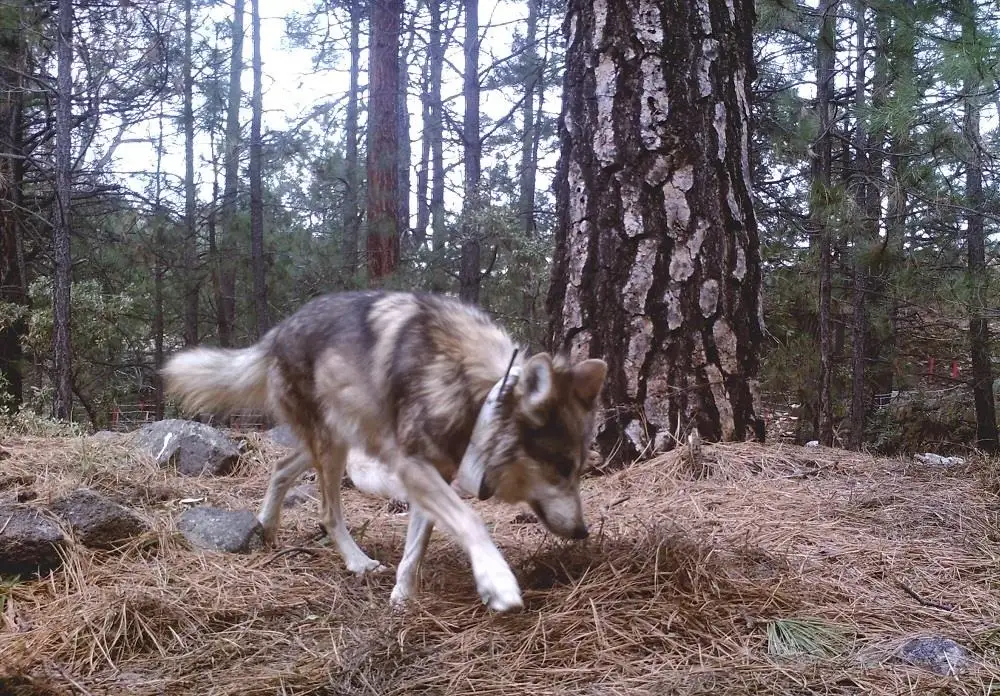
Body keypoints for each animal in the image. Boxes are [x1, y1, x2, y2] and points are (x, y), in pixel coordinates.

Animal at [161, 290, 607, 612]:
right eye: (561, 468)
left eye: (579, 469)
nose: (583, 532)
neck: (475, 396)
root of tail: (276, 332)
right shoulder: (413, 467)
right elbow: (472, 521)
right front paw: (496, 583)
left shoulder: (433, 475)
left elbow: (416, 547)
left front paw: (402, 599)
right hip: (334, 447)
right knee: (327, 512)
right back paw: (357, 562)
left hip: (339, 440)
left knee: (281, 467)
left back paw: (266, 527)